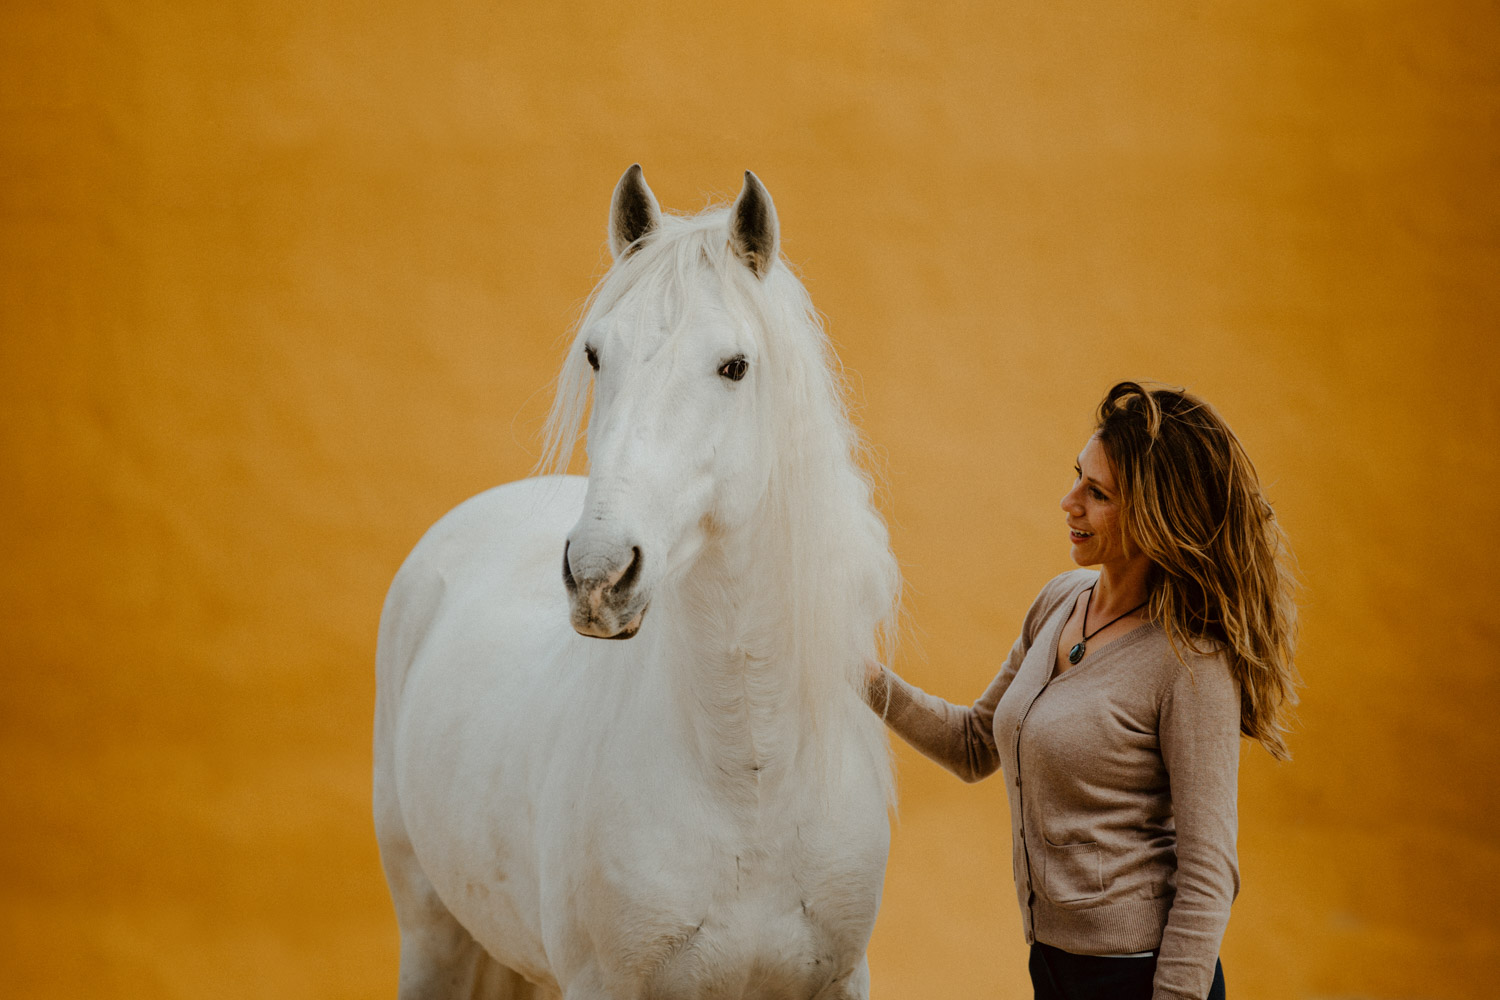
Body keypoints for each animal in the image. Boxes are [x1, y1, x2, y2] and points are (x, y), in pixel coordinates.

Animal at [378, 167, 900, 995]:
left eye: (734, 365)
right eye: (596, 354)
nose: (598, 575)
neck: (749, 779)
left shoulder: (842, 979)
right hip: (432, 934)